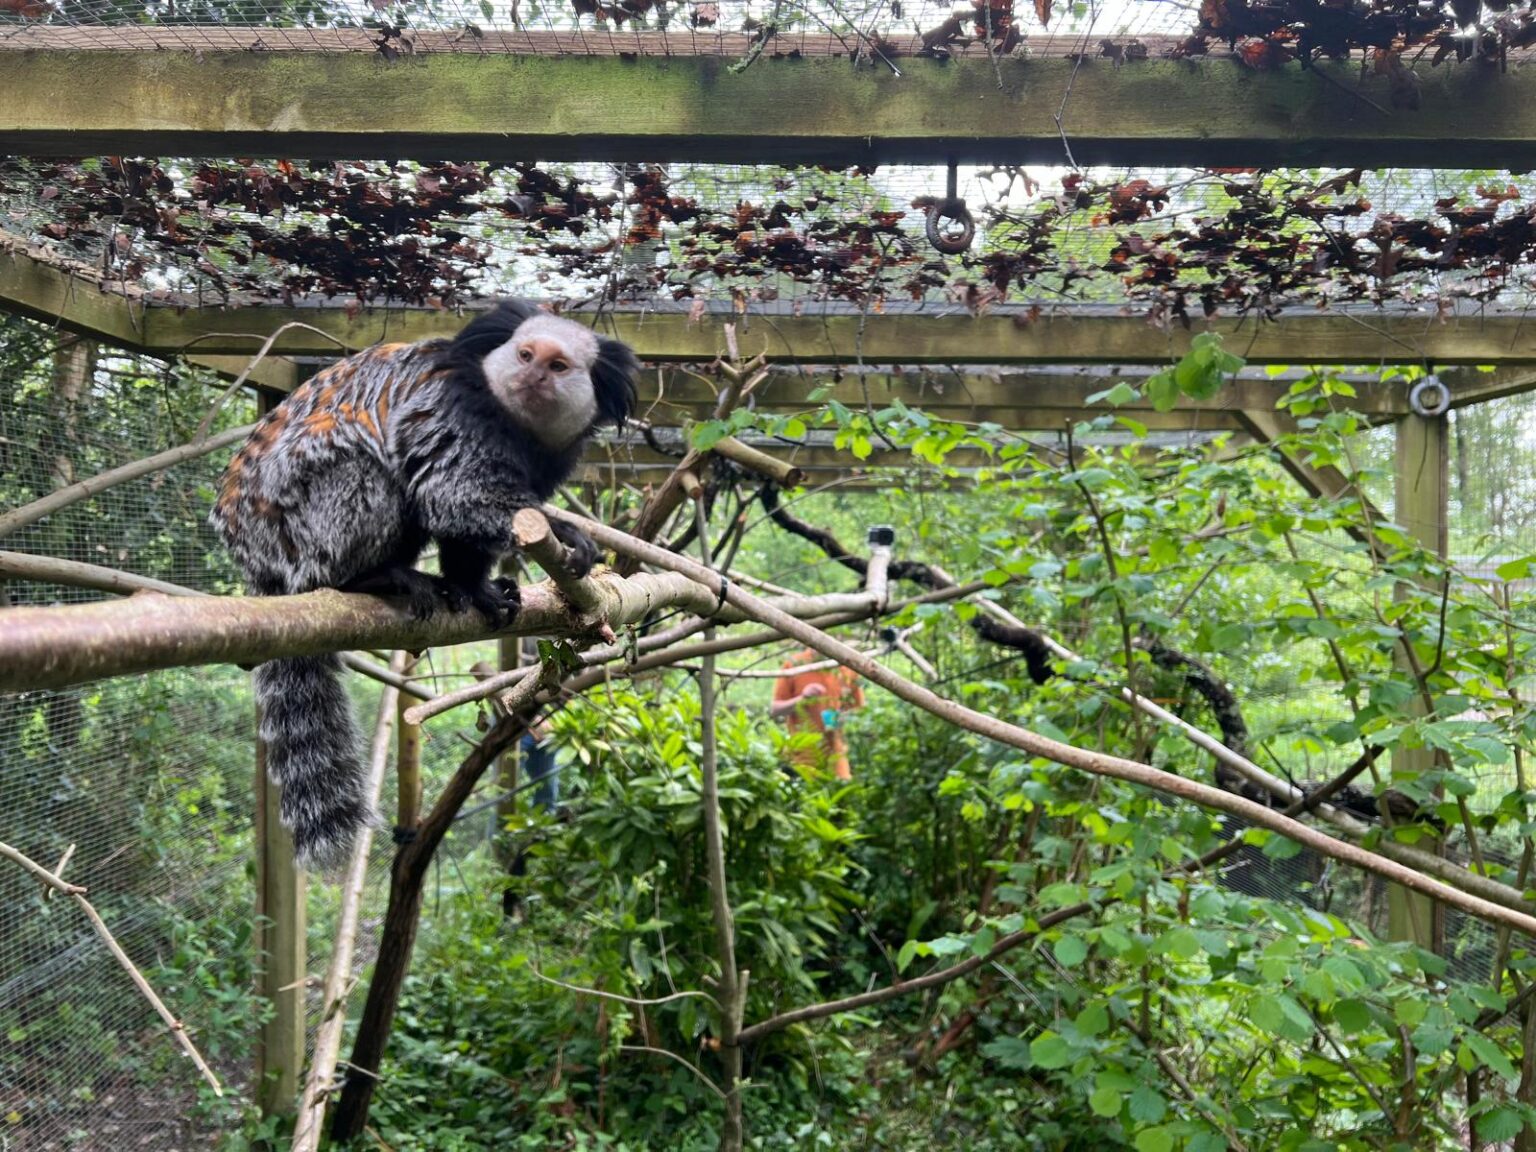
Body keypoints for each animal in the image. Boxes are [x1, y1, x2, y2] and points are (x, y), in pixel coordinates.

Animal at [210, 301, 639, 870]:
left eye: (558, 365)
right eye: (525, 355)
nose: (531, 377)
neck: (513, 422)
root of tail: (256, 564)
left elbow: (464, 531)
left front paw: (476, 588)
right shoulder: (452, 407)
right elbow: (454, 490)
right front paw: (565, 531)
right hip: (297, 524)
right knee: (363, 466)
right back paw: (368, 577)